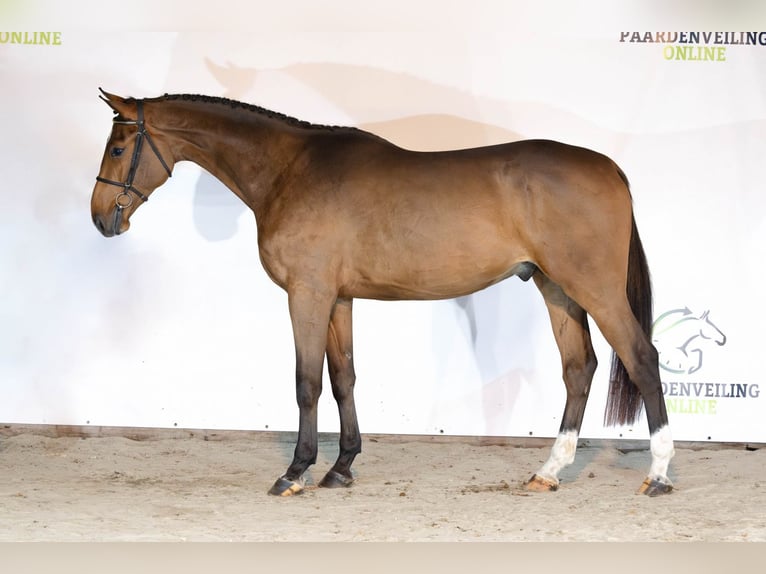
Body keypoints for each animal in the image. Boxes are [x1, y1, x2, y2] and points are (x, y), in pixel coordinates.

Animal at [90, 90, 675, 497]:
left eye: (118, 147)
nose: (100, 219)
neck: (290, 171)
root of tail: (610, 168)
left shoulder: (307, 294)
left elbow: (307, 383)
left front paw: (295, 471)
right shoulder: (338, 298)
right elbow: (343, 378)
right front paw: (341, 467)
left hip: (594, 288)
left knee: (642, 358)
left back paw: (658, 475)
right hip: (557, 288)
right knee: (579, 368)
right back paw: (548, 472)